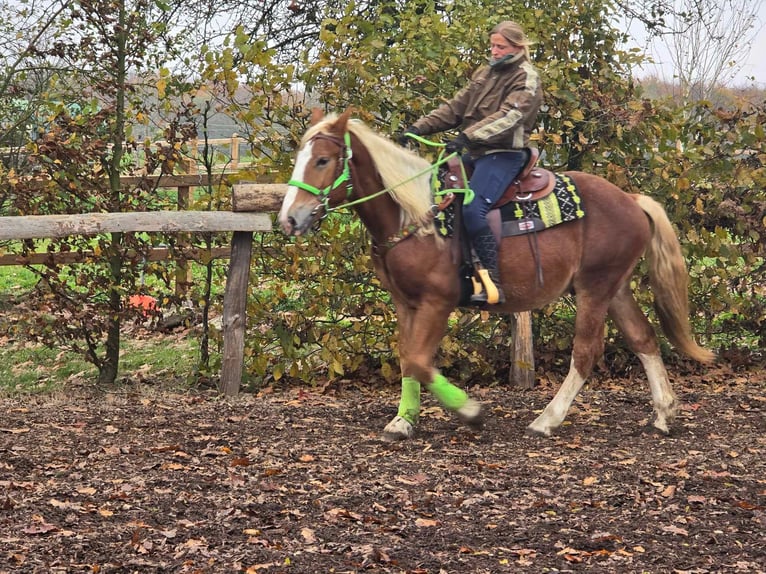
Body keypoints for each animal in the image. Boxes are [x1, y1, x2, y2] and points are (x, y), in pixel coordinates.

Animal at [280, 109, 716, 440]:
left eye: (322, 160)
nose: (290, 219)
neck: (415, 215)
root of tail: (631, 199)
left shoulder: (438, 302)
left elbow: (419, 360)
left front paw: (470, 411)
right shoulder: (405, 302)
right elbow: (407, 360)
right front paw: (403, 421)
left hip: (594, 288)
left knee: (586, 352)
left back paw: (547, 420)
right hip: (615, 287)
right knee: (644, 338)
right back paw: (664, 413)